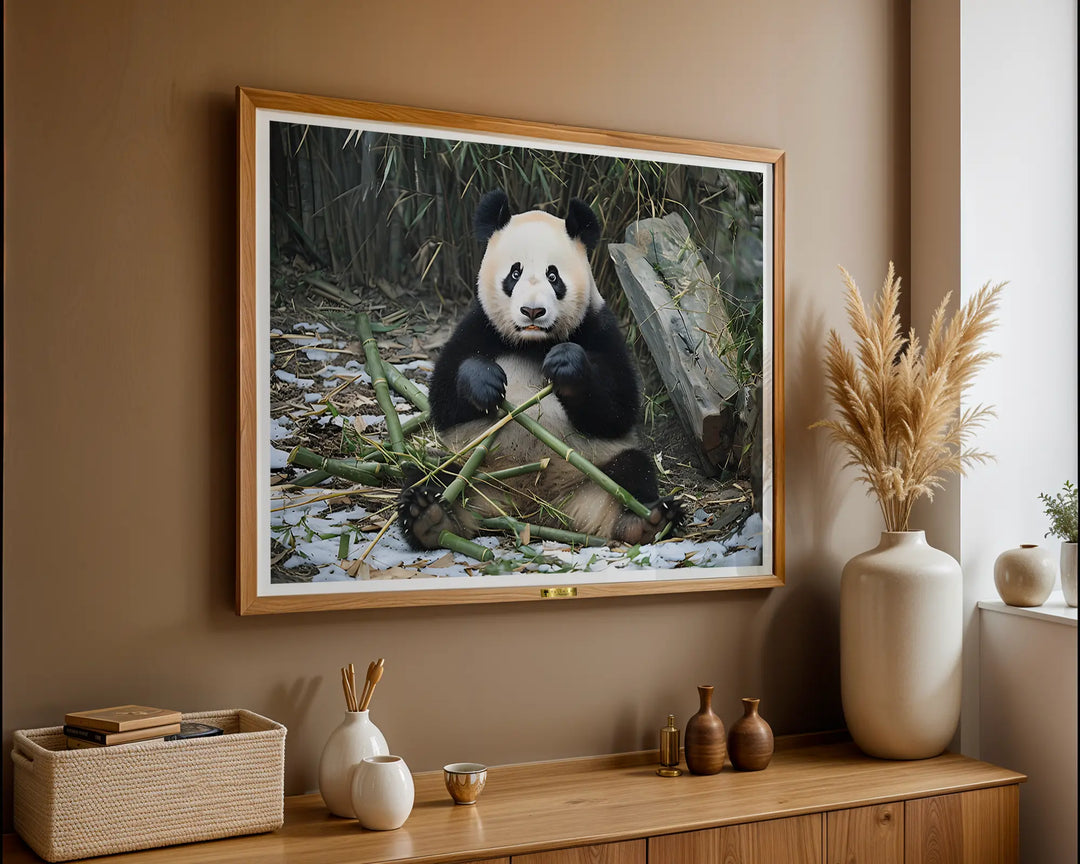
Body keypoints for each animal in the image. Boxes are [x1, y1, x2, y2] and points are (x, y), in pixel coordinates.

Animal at [398, 189, 681, 550]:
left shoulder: (599, 327)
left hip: (596, 469)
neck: (533, 343)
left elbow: (619, 408)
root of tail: (530, 506)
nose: (532, 311)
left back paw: (643, 522)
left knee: (634, 470)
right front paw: (483, 382)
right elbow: (444, 396)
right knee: (427, 472)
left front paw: (567, 366)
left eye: (553, 275)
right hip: (468, 465)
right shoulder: (478, 326)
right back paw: (430, 518)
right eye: (515, 273)